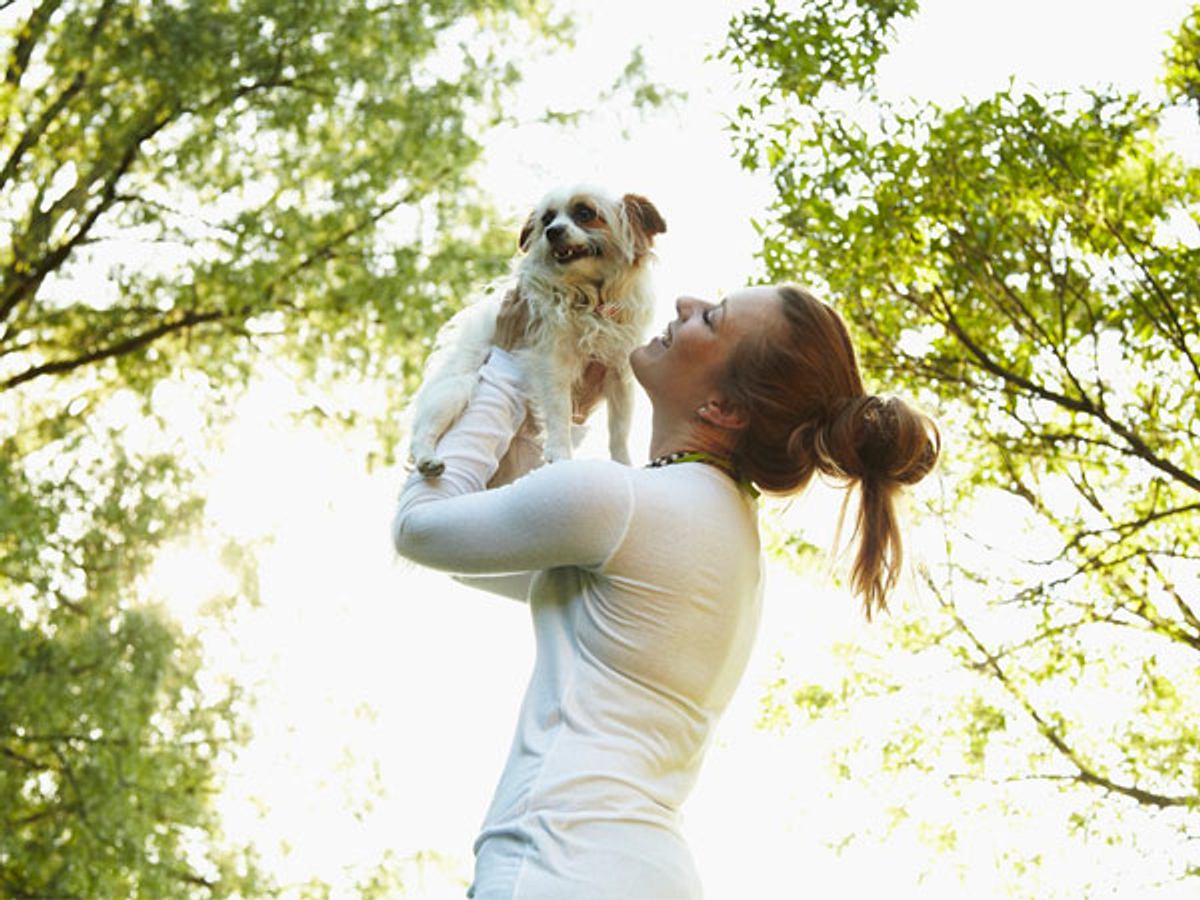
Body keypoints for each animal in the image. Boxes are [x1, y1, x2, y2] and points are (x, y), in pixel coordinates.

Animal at [408, 184, 662, 480]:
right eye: (547, 219)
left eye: (585, 213)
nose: (552, 231)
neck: (588, 295)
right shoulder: (552, 361)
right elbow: (559, 409)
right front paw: (561, 454)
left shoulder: (618, 371)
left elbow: (620, 428)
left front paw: (623, 465)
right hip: (455, 389)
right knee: (422, 433)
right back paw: (427, 459)